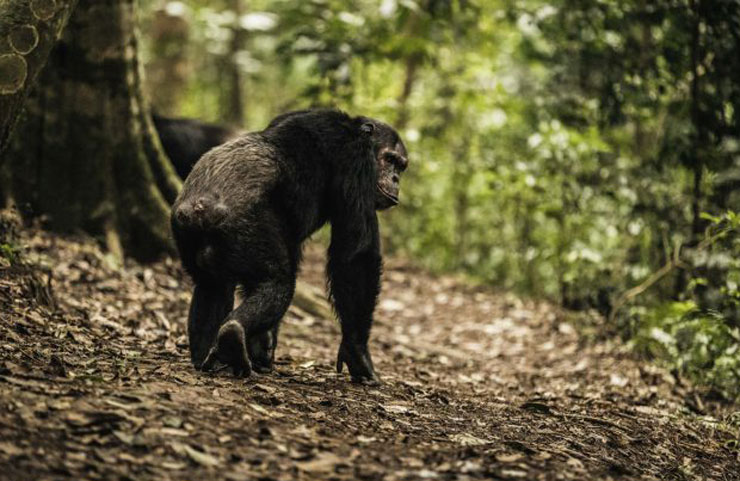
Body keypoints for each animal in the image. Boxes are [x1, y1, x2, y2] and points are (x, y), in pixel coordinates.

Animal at [171, 109, 408, 382]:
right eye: (389, 159)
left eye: (401, 166)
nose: (395, 178)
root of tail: (199, 207)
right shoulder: (356, 162)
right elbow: (356, 255)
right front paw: (358, 353)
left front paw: (263, 345)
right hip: (247, 228)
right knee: (278, 283)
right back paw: (233, 335)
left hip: (187, 236)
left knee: (212, 286)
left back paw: (209, 358)